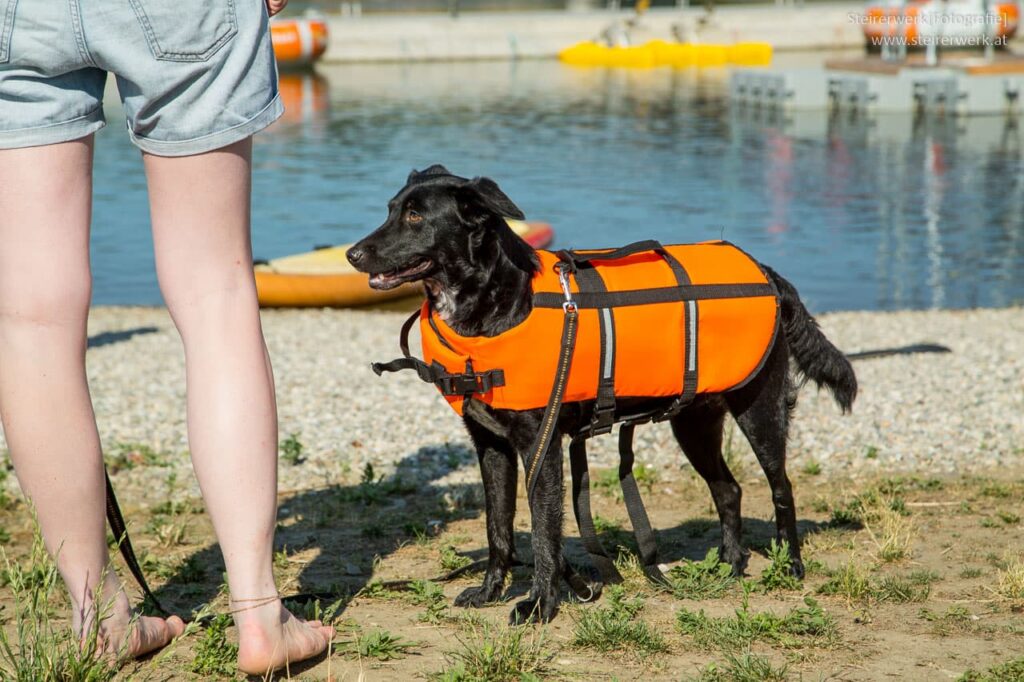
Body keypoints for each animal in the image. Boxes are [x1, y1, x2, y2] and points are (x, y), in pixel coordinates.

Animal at [348, 163, 860, 622]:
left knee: (781, 487)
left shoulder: (541, 448)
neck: (496, 304)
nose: (352, 254)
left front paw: (540, 605)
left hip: (759, 410)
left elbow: (543, 533)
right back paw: (731, 566)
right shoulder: (491, 445)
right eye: (391, 209)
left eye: (416, 216)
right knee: (728, 489)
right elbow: (499, 529)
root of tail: (769, 273)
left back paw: (790, 565)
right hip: (693, 421)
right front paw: (491, 591)